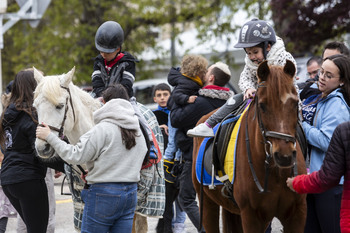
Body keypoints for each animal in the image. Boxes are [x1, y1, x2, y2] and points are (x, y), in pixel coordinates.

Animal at [191, 60, 306, 233]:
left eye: (295, 103)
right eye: (262, 105)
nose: (284, 155)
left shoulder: (296, 214)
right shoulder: (252, 216)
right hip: (208, 203)